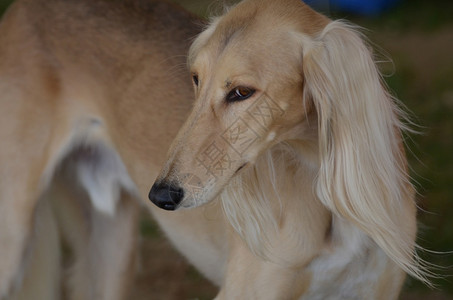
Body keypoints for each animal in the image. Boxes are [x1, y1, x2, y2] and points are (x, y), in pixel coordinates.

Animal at [0, 0, 424, 298]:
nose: (161, 195)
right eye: (195, 80)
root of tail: (24, 7)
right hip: (14, 236)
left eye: (242, 92)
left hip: (112, 247)